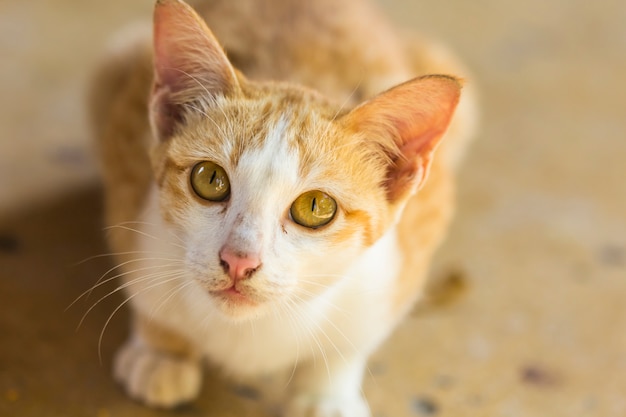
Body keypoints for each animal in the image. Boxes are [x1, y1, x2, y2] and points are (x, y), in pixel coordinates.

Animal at [88, 0, 476, 414]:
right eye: (209, 179)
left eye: (316, 206)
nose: (239, 260)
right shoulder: (128, 178)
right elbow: (145, 290)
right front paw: (162, 350)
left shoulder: (406, 254)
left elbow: (354, 340)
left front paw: (326, 393)